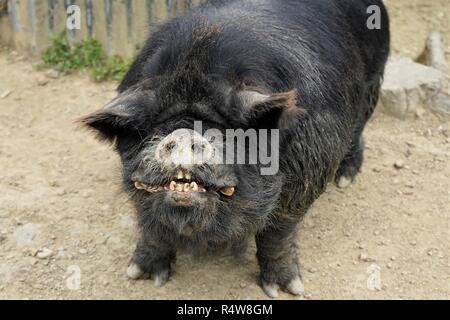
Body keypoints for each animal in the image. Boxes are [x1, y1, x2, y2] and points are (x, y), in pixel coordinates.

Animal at [78, 0, 390, 298]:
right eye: (157, 128)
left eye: (225, 131)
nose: (183, 134)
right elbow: (150, 224)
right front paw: (141, 276)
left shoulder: (310, 168)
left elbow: (278, 232)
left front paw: (285, 290)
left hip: (374, 80)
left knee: (358, 128)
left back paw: (345, 179)